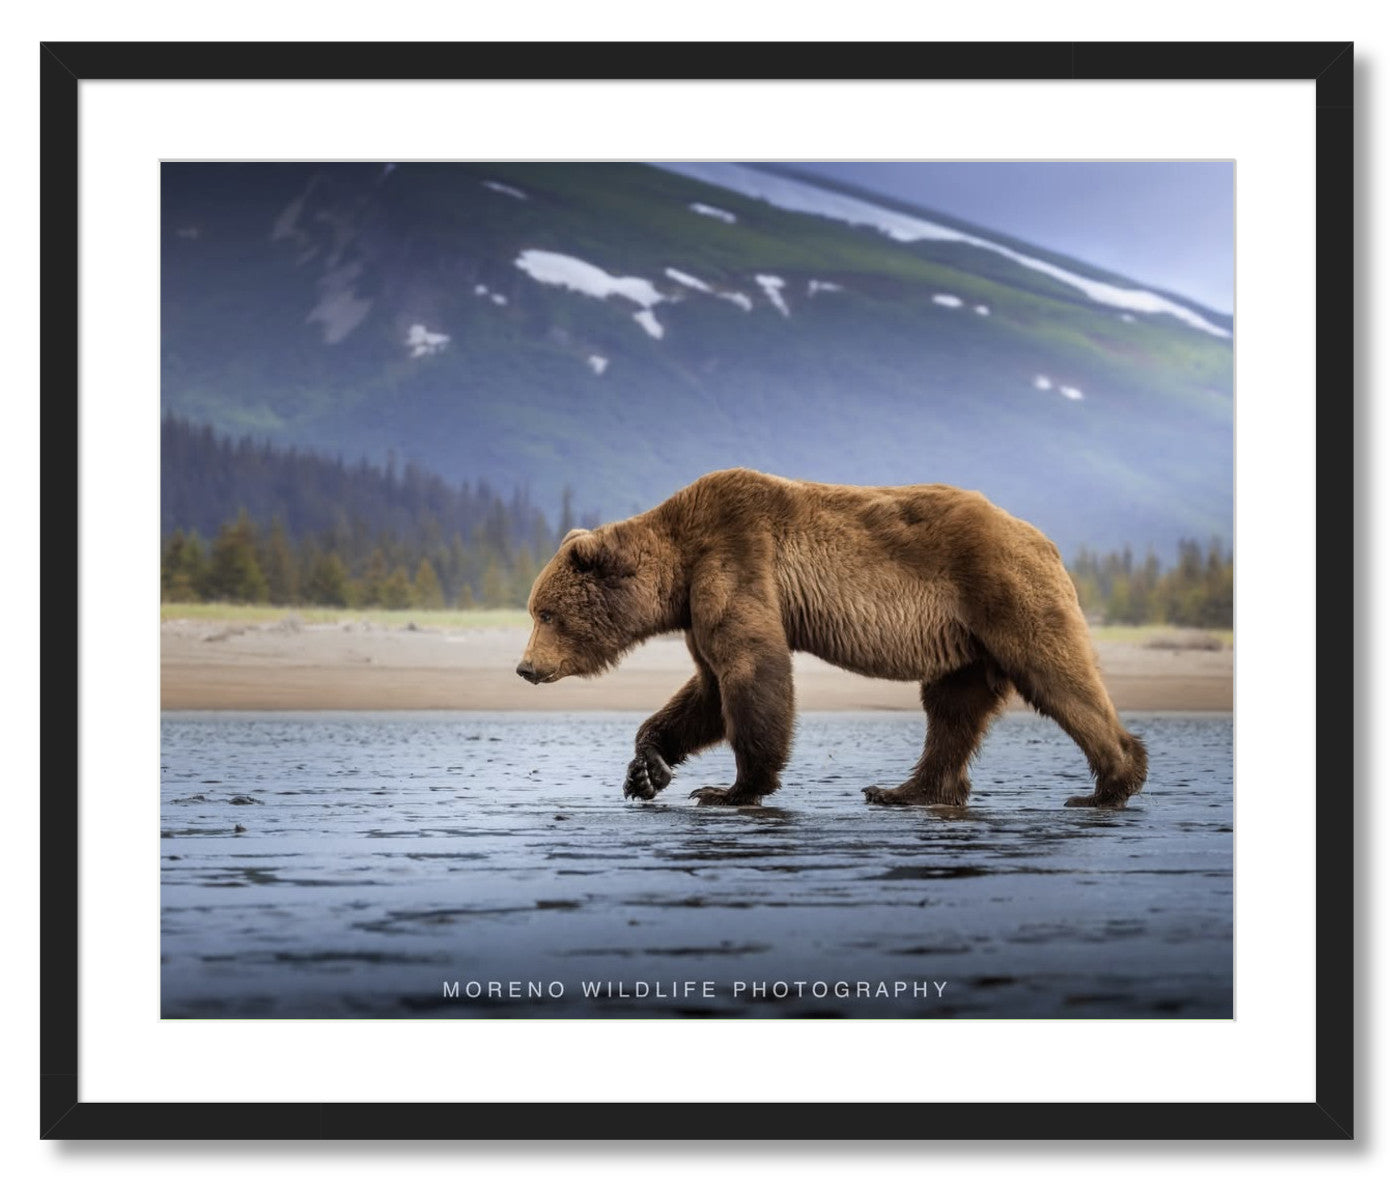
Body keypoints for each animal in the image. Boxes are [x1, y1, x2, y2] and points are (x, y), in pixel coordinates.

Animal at [516, 468, 1147, 809]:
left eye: (545, 613)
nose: (524, 668)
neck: (678, 564)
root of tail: (1044, 538)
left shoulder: (735, 556)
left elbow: (750, 671)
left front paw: (731, 788)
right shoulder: (698, 603)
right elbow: (707, 689)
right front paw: (647, 770)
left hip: (1003, 593)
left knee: (1056, 676)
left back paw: (1110, 783)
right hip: (966, 640)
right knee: (952, 710)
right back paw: (904, 790)